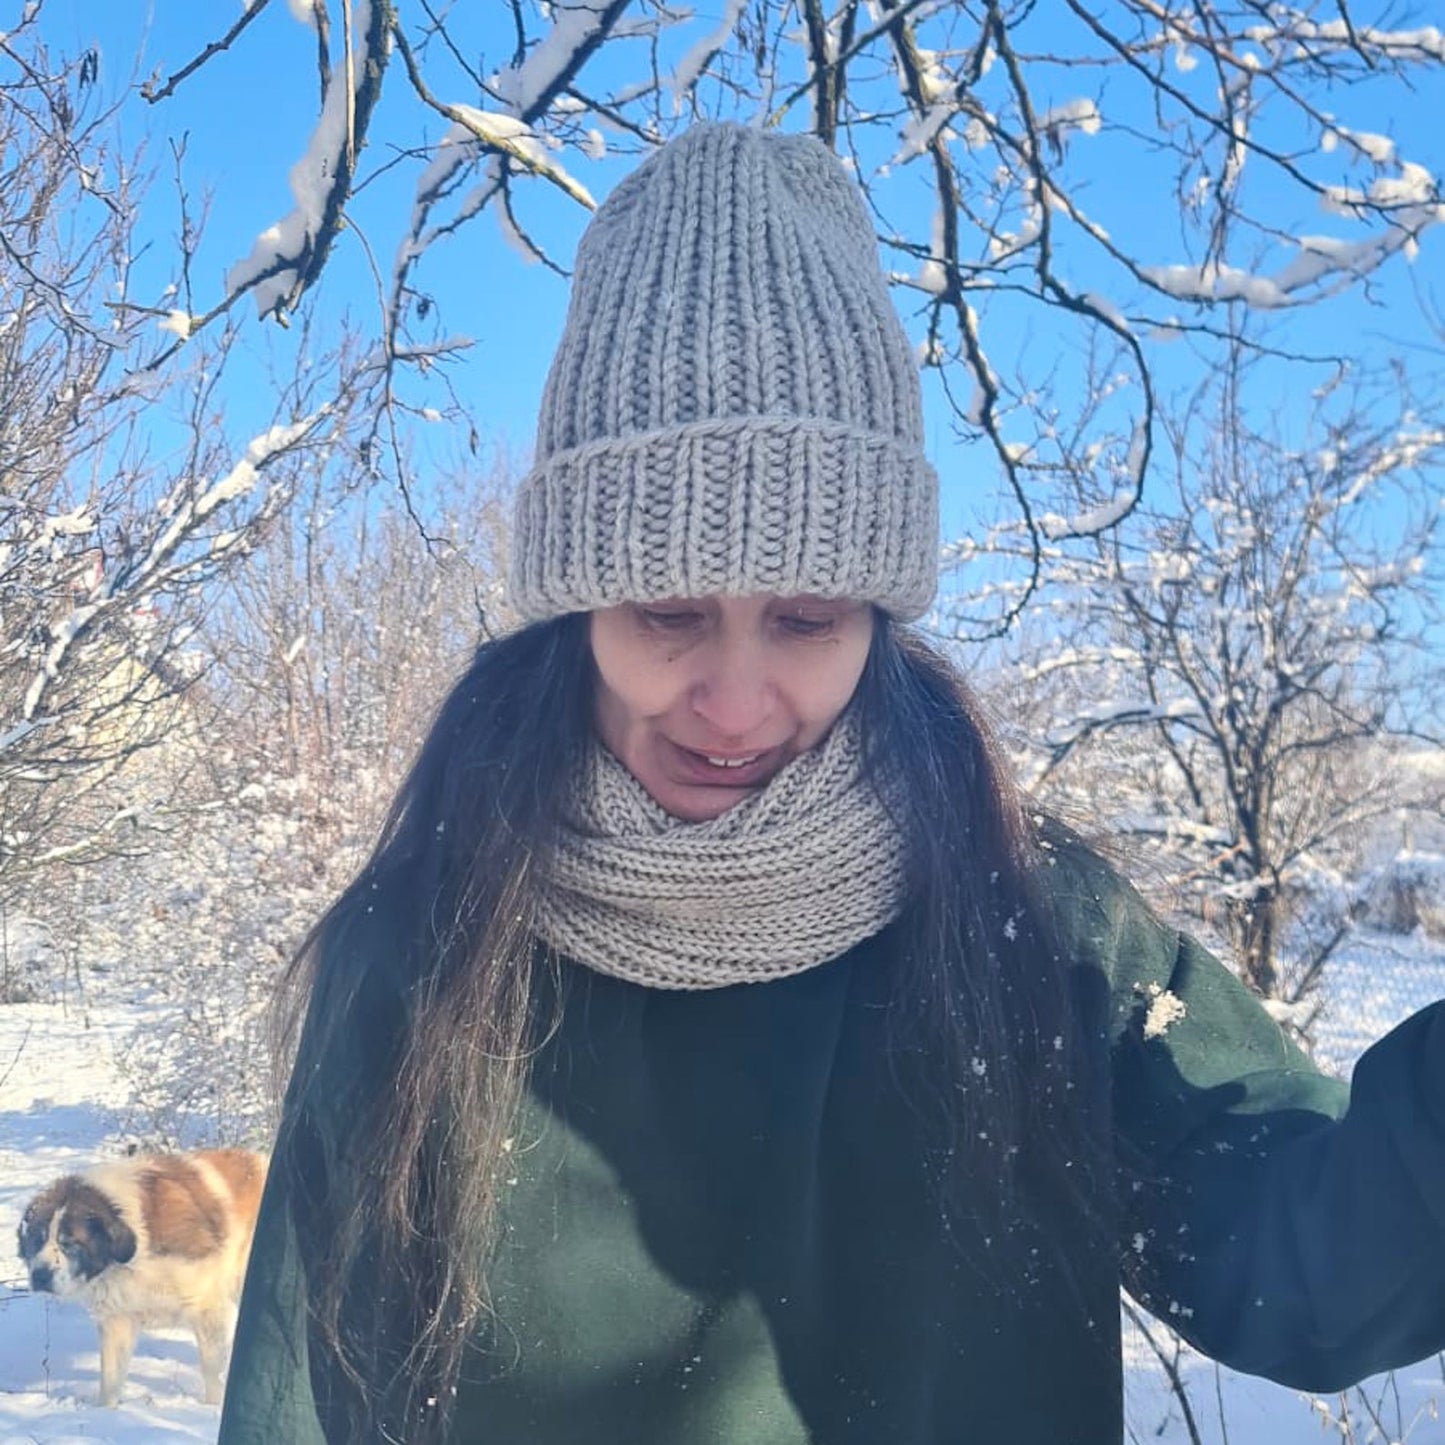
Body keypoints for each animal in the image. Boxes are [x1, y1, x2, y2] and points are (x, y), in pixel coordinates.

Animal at [16, 1144, 267, 1404]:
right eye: (37, 1240)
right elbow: (111, 1379)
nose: (40, 1275)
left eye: (69, 1243)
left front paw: (212, 1406)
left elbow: (213, 1373)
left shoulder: (209, 1309)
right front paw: (106, 1411)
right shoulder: (118, 1319)